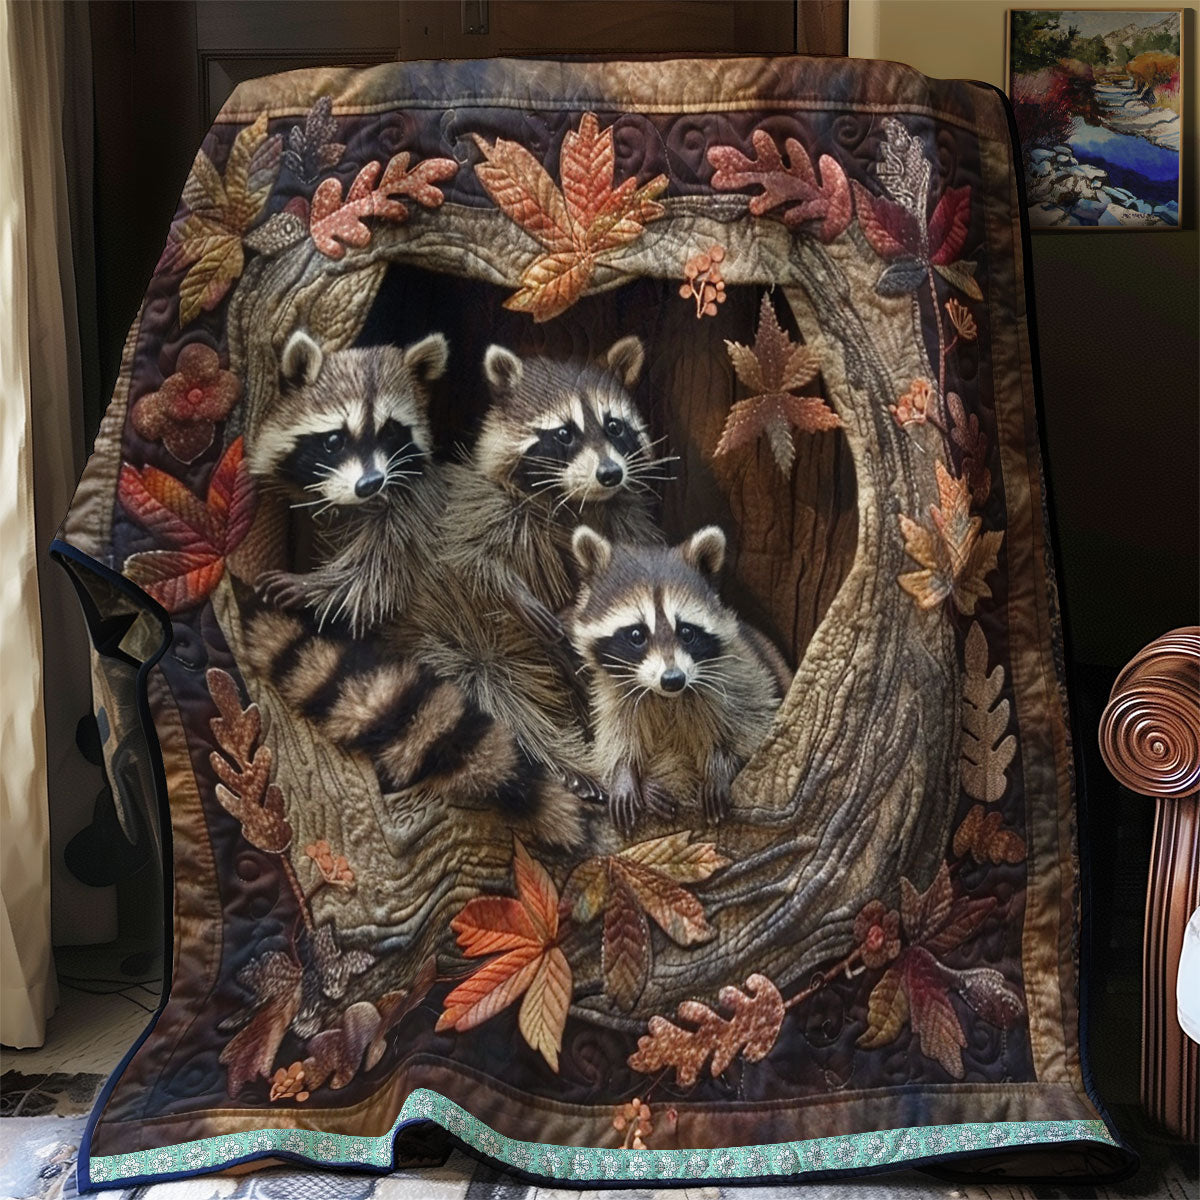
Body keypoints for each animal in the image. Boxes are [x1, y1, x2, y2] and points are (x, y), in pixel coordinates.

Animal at [247, 328, 450, 635]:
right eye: (333, 440)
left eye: (390, 432)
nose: (370, 484)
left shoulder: (414, 511)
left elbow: (378, 577)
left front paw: (312, 586)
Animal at [568, 525, 792, 835]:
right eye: (637, 635)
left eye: (686, 632)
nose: (673, 679)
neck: (666, 697)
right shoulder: (614, 692)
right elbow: (617, 734)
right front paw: (624, 774)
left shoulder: (739, 673)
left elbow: (752, 724)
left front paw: (720, 765)